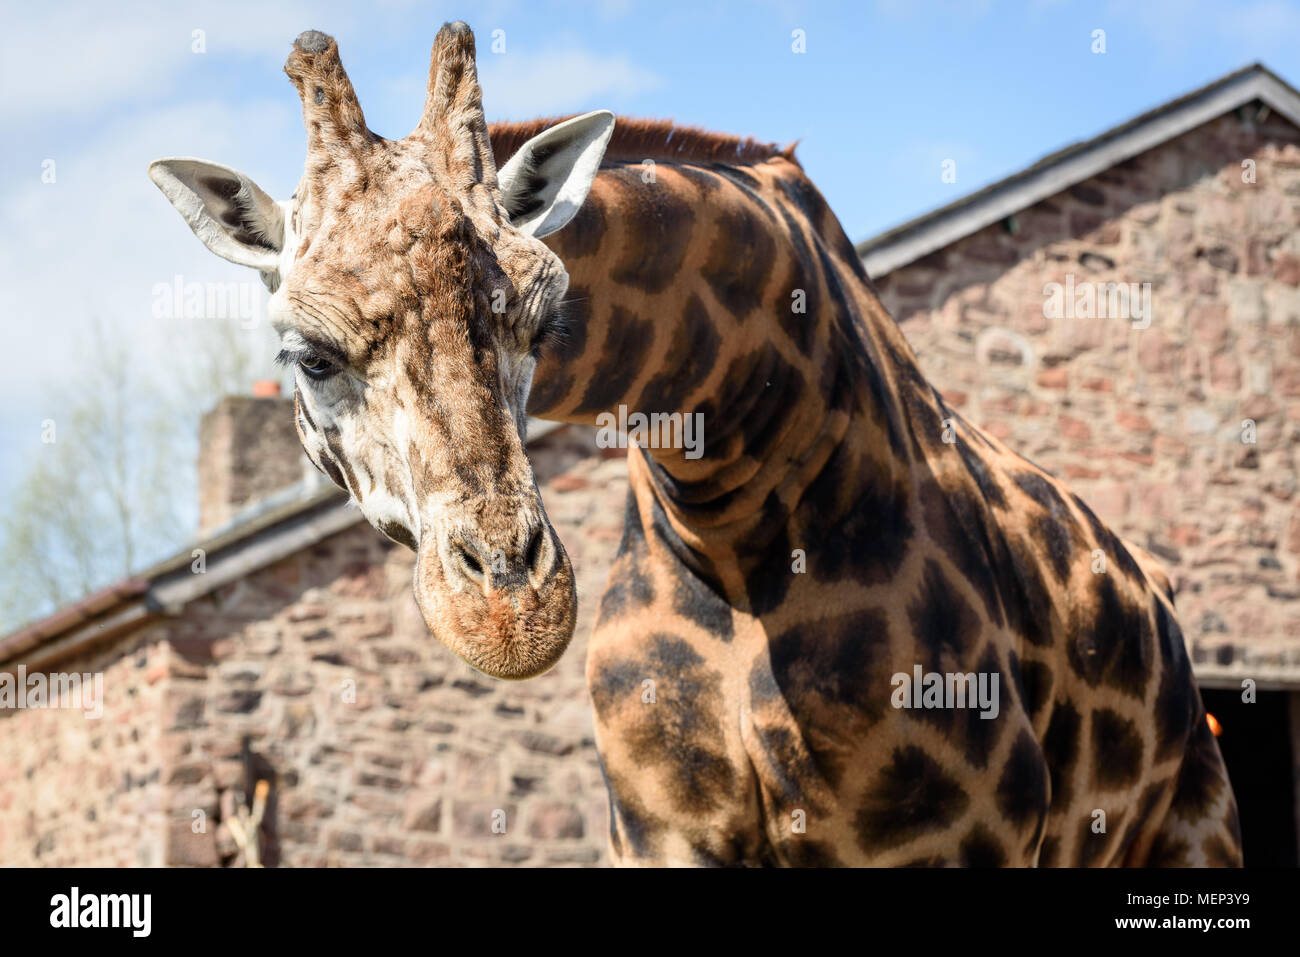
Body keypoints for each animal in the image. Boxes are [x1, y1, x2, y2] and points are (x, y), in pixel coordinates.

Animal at [147, 22, 1242, 868]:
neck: (733, 499)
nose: (511, 614)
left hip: (1196, 825)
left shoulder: (954, 839)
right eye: (308, 355)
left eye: (546, 318)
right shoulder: (661, 833)